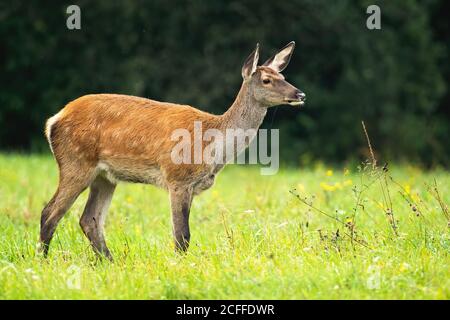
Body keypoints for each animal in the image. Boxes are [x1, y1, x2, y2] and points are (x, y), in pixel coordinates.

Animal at [40, 41, 306, 260]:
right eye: (266, 80)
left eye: (282, 75)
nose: (300, 93)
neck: (212, 146)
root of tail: (53, 120)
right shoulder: (178, 178)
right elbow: (182, 235)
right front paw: (180, 265)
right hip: (76, 162)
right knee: (50, 212)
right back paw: (43, 261)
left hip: (105, 177)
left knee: (89, 220)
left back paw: (109, 261)